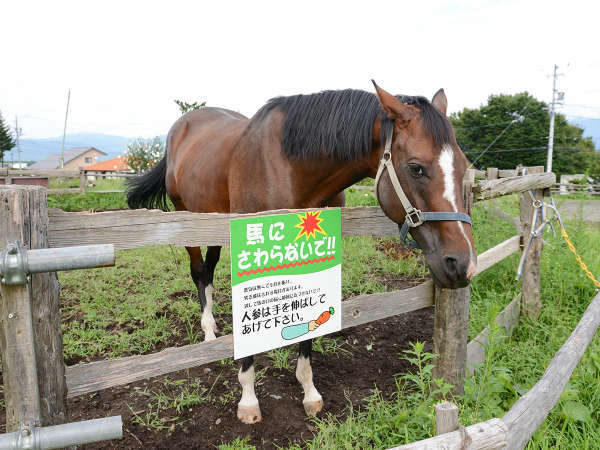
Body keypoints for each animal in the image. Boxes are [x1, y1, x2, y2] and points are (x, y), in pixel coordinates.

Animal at [127, 81, 478, 426]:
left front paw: (309, 391)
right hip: (185, 218)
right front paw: (248, 400)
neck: (289, 167)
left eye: (463, 166)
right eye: (416, 168)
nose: (462, 265)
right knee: (199, 271)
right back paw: (208, 331)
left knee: (209, 269)